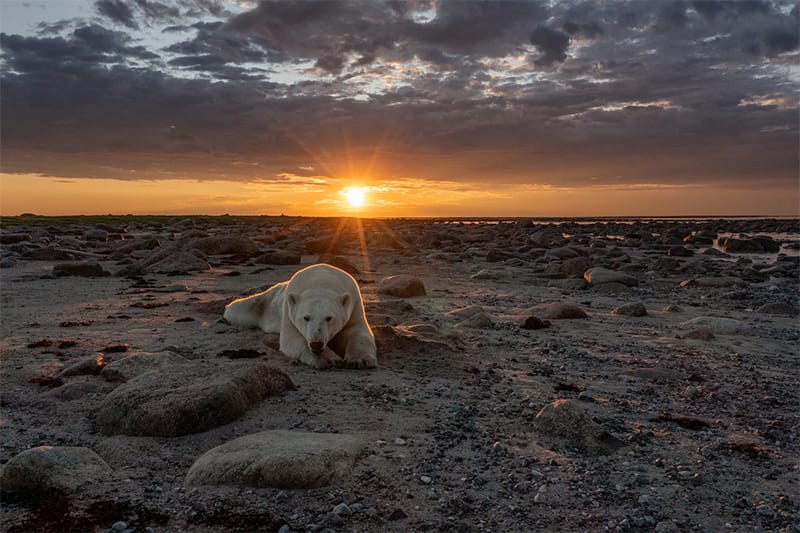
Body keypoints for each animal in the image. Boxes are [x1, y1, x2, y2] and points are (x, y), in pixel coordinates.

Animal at [222, 262, 378, 370]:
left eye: (329, 318)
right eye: (306, 317)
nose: (316, 344)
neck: (321, 281)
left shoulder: (355, 304)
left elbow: (358, 331)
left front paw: (360, 360)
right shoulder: (289, 310)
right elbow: (291, 338)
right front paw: (329, 359)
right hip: (264, 303)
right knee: (240, 309)